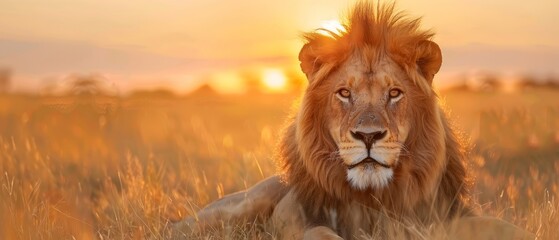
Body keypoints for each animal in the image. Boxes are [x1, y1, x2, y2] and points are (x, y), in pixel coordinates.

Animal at [174, 1, 532, 240]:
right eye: (344, 93)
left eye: (394, 93)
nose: (369, 136)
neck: (373, 196)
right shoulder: (300, 217)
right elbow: (319, 233)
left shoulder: (441, 215)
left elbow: (499, 226)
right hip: (235, 208)